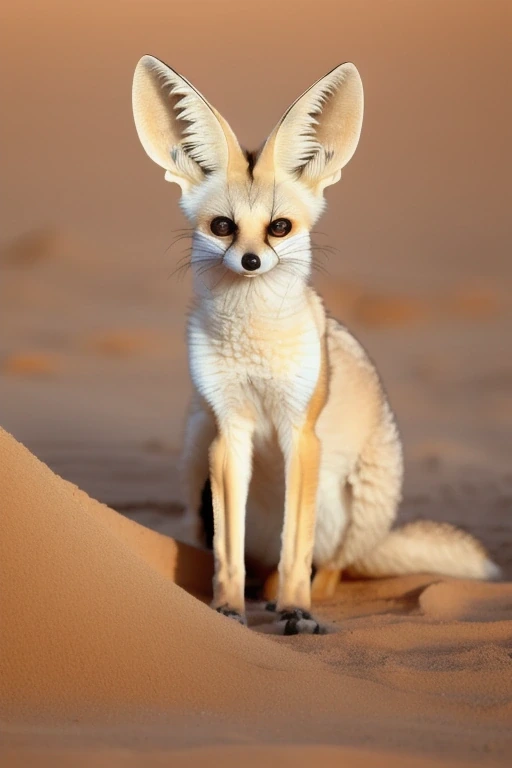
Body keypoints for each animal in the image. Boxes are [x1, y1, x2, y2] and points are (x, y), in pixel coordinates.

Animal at [132, 55, 500, 635]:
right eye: (223, 227)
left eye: (279, 228)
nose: (251, 262)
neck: (255, 345)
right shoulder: (228, 428)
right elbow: (229, 554)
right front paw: (226, 610)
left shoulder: (299, 431)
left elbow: (296, 547)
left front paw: (295, 608)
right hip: (195, 446)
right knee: (252, 556)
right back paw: (259, 593)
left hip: (361, 499)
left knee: (330, 568)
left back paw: (296, 598)